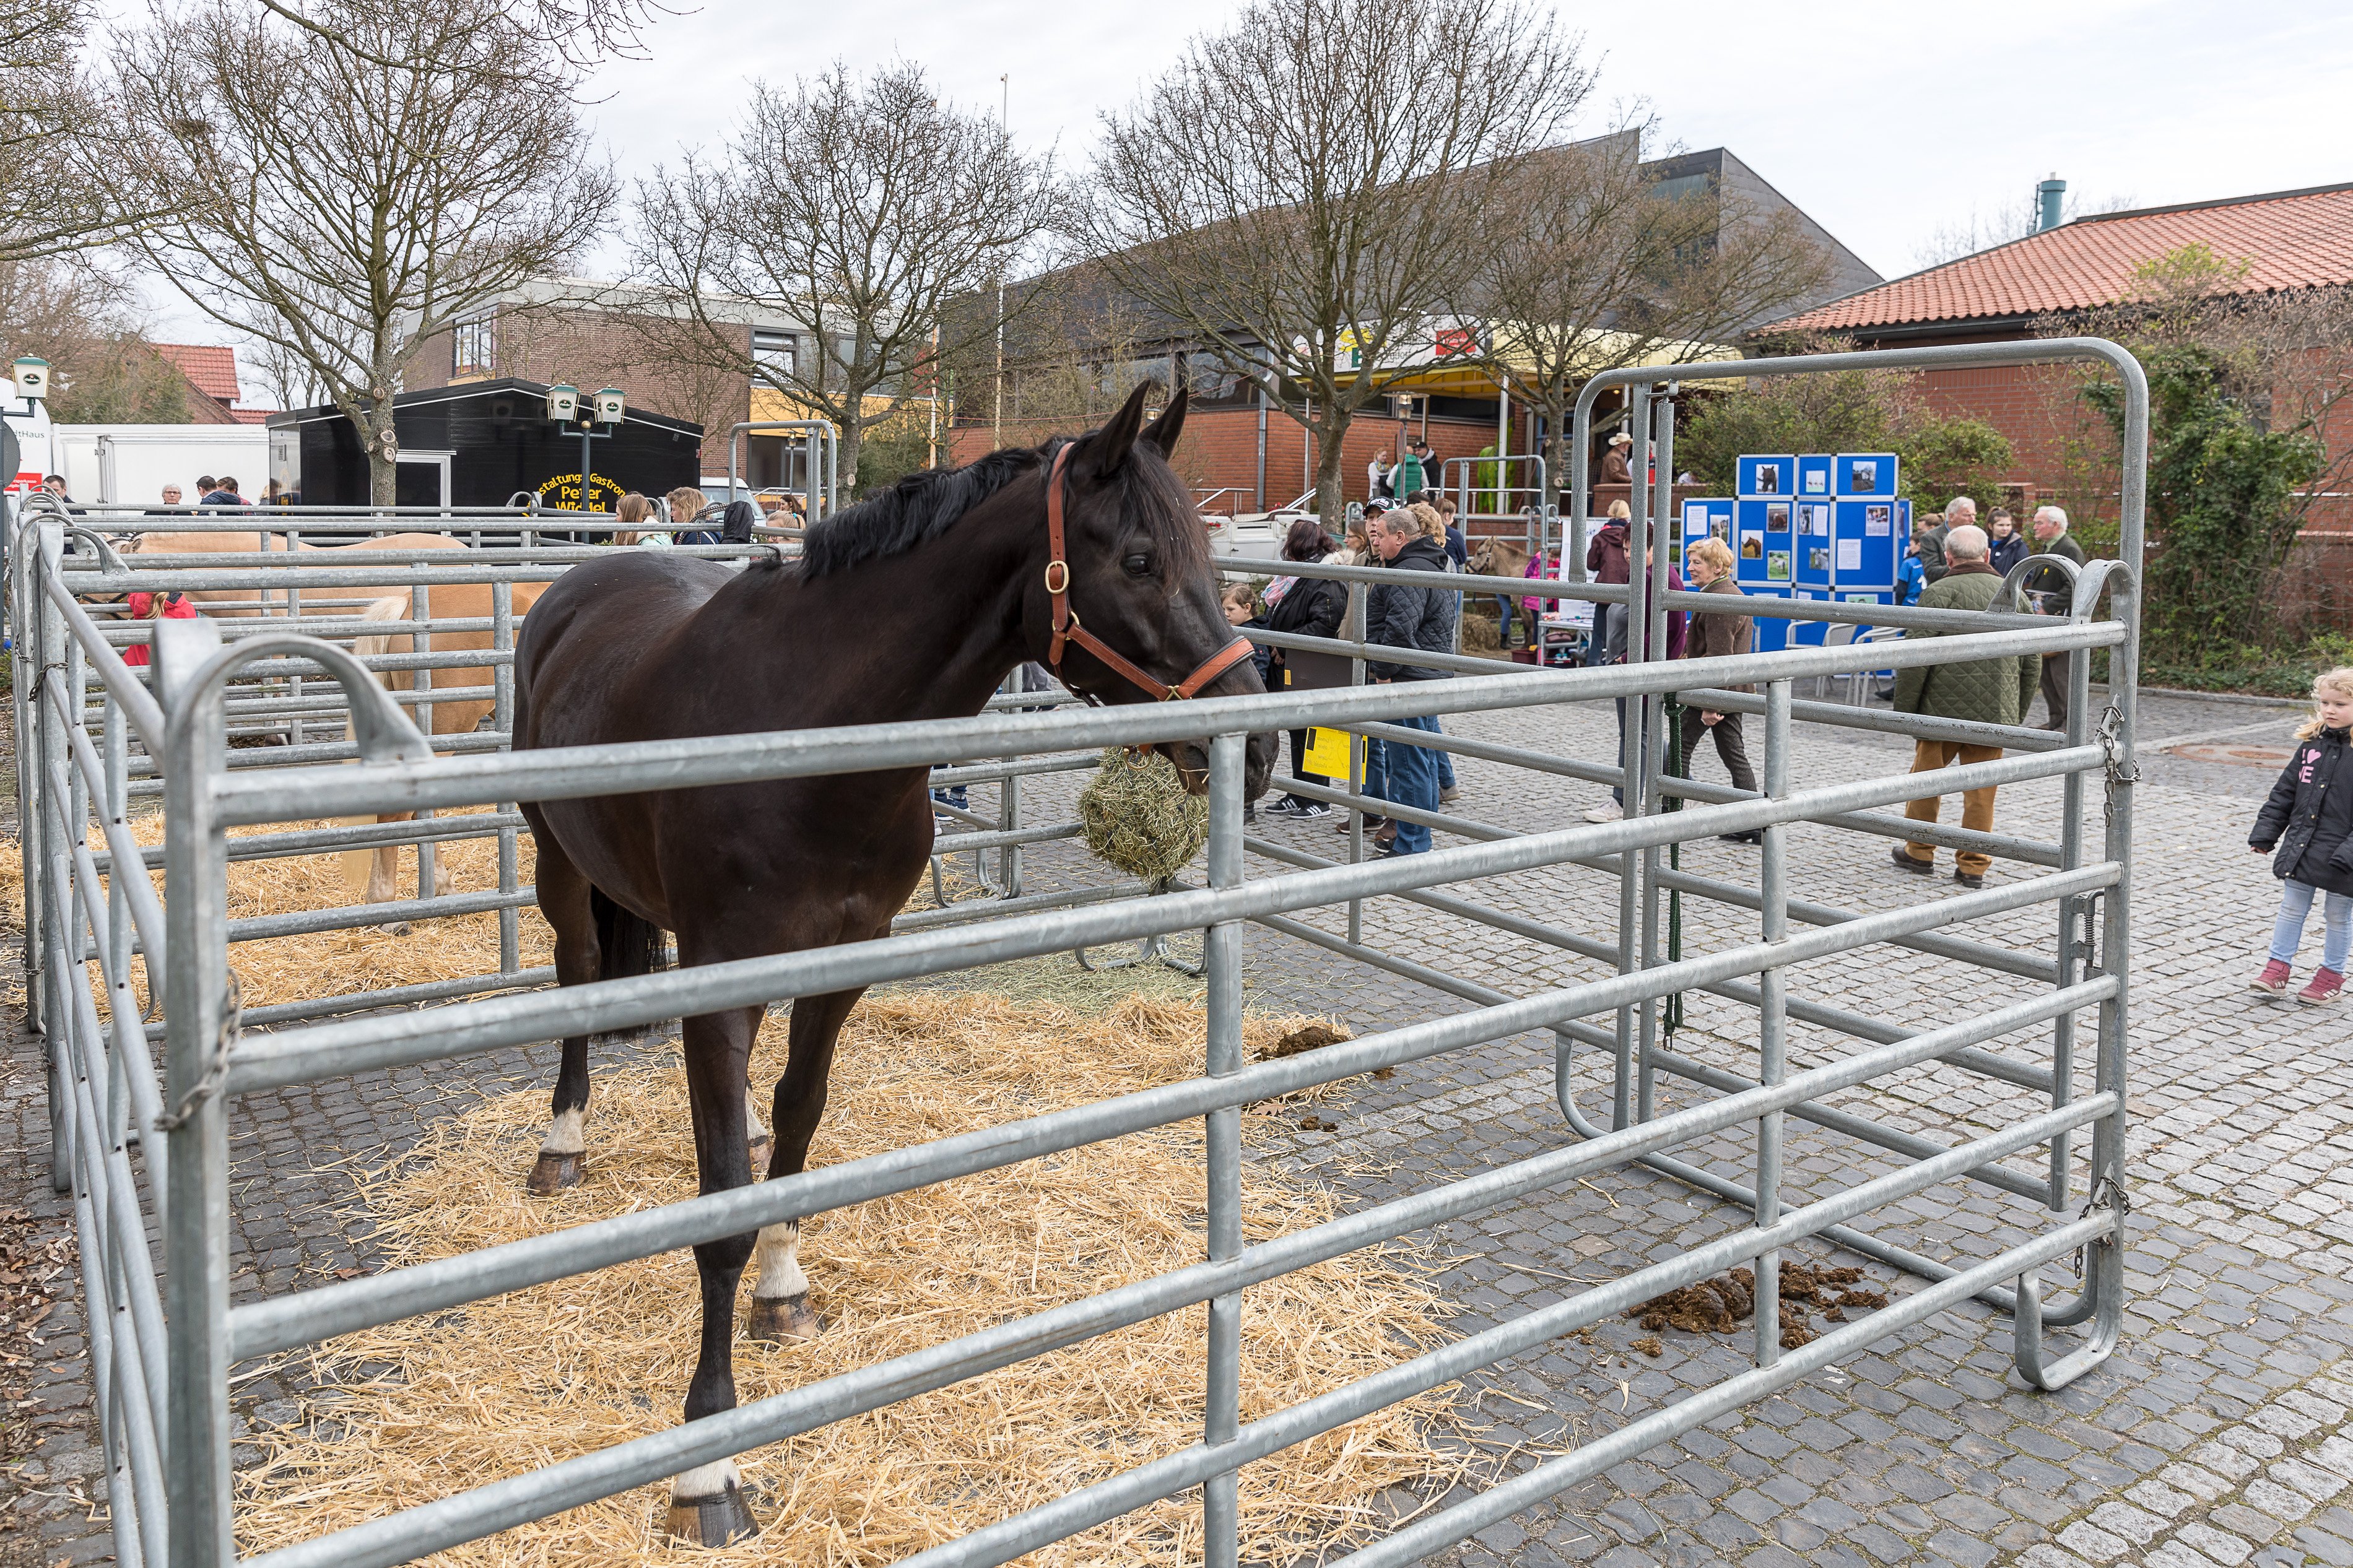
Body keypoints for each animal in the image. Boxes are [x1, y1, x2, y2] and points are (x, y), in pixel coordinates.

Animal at [510, 383, 1275, 1544]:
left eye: (1208, 554)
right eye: (1142, 559)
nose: (1260, 745)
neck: (808, 733)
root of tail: (585, 577)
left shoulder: (843, 963)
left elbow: (800, 1123)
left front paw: (784, 1286)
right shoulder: (717, 983)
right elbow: (720, 1210)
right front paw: (706, 1464)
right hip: (558, 864)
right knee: (579, 972)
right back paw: (562, 1143)